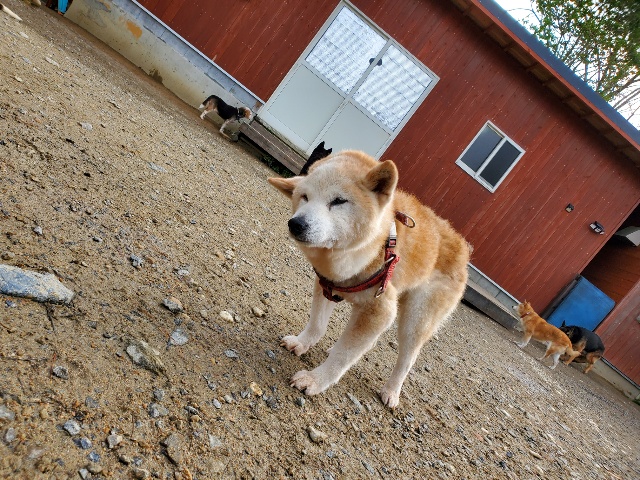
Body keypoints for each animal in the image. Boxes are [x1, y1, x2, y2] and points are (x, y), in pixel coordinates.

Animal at [268, 150, 470, 408]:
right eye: (304, 197)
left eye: (339, 201)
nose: (296, 224)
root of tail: (462, 245)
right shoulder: (326, 286)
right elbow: (317, 325)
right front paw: (302, 343)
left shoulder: (379, 308)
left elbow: (344, 355)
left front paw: (316, 380)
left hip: (416, 320)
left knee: (407, 359)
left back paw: (392, 391)